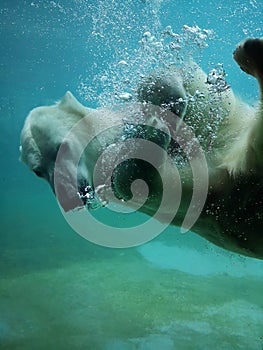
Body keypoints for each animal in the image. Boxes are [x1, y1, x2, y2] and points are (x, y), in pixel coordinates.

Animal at [20, 38, 263, 258]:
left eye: (62, 147)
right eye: (37, 171)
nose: (70, 199)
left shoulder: (217, 127)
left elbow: (208, 101)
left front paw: (168, 104)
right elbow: (139, 180)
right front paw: (157, 130)